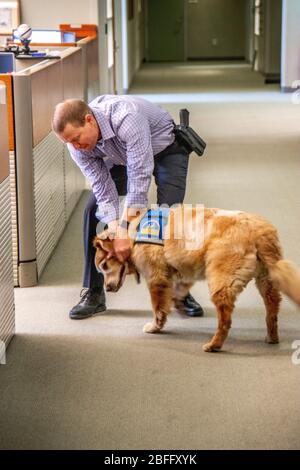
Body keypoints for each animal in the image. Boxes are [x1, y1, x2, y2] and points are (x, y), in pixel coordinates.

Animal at [94, 207, 300, 352]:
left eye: (104, 266)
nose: (107, 288)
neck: (133, 231)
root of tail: (260, 230)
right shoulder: (183, 273)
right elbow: (175, 293)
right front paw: (178, 304)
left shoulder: (156, 279)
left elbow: (158, 308)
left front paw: (155, 326)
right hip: (267, 282)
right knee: (272, 311)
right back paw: (272, 337)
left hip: (221, 283)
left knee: (225, 321)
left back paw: (214, 345)